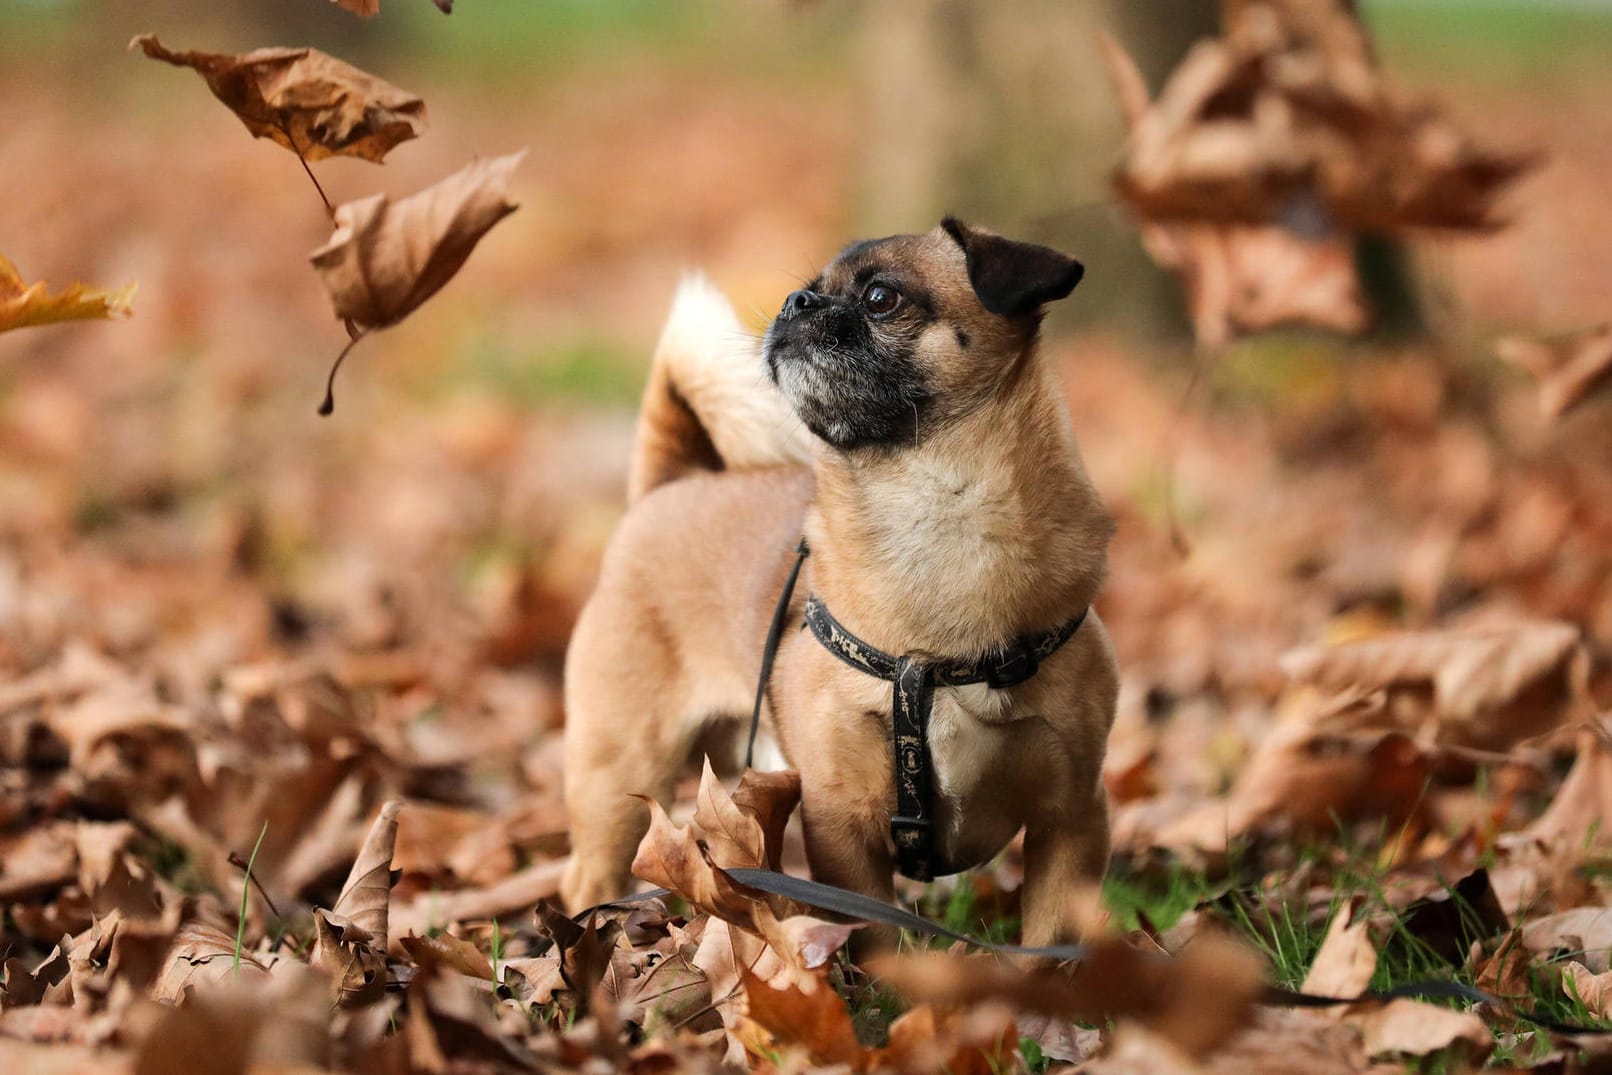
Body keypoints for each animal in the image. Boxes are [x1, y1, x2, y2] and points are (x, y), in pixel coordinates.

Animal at [560, 220, 1115, 947]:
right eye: (809, 291)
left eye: (881, 298)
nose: (795, 302)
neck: (937, 512)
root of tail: (672, 485)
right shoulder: (844, 827)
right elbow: (877, 934)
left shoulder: (1071, 820)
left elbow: (1050, 939)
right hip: (618, 772)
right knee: (590, 871)